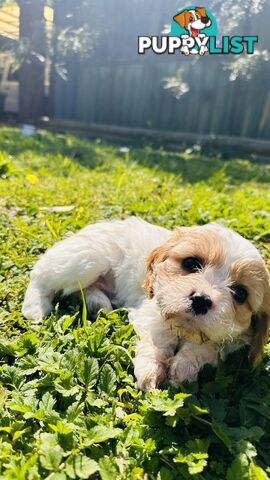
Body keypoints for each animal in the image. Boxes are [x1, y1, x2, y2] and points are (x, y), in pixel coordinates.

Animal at [22, 218, 270, 390]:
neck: (183, 329)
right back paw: (35, 307)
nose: (201, 300)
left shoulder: (226, 340)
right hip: (85, 260)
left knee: (83, 290)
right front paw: (150, 372)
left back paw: (98, 304)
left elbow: (205, 348)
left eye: (240, 293)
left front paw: (183, 368)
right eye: (191, 263)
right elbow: (157, 341)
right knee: (42, 275)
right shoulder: (151, 311)